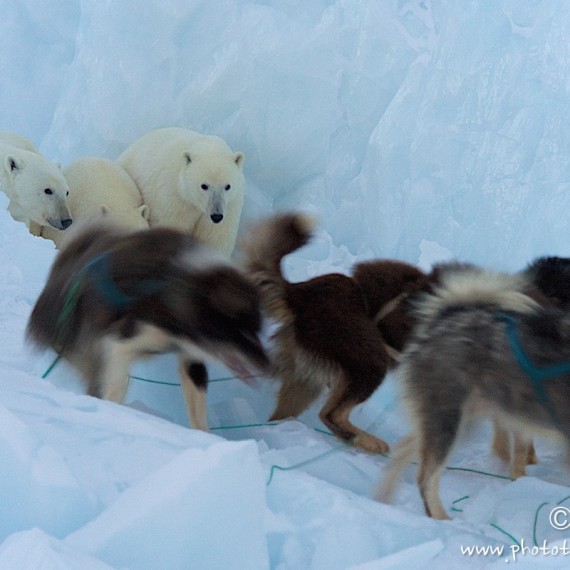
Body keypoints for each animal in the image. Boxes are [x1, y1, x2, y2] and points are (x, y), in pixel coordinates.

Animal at [117, 127, 244, 258]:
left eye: (227, 186)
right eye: (204, 186)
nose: (216, 216)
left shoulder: (231, 205)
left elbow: (215, 237)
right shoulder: (173, 198)